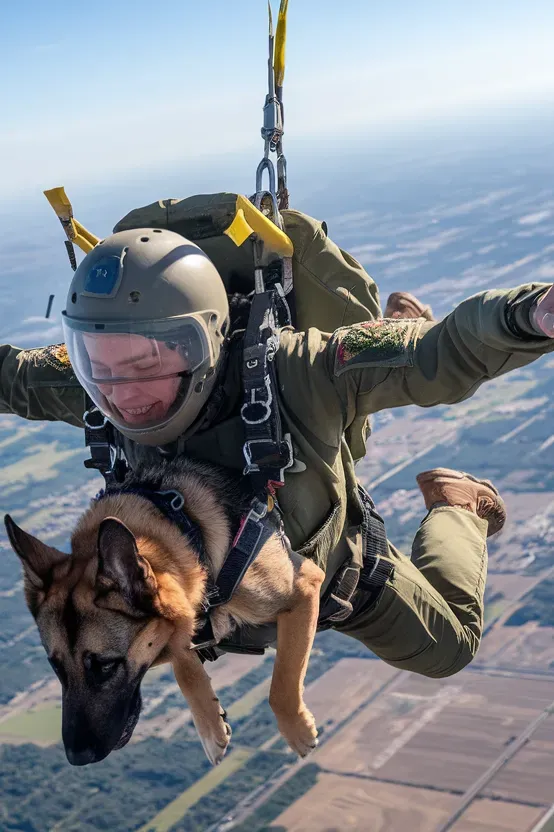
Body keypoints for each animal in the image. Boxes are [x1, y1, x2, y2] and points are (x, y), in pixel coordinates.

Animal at [4, 458, 322, 772]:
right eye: (55, 667)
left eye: (105, 666)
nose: (76, 757)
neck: (186, 529)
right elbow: (183, 661)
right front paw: (210, 726)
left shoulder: (304, 588)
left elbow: (281, 685)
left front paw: (297, 731)